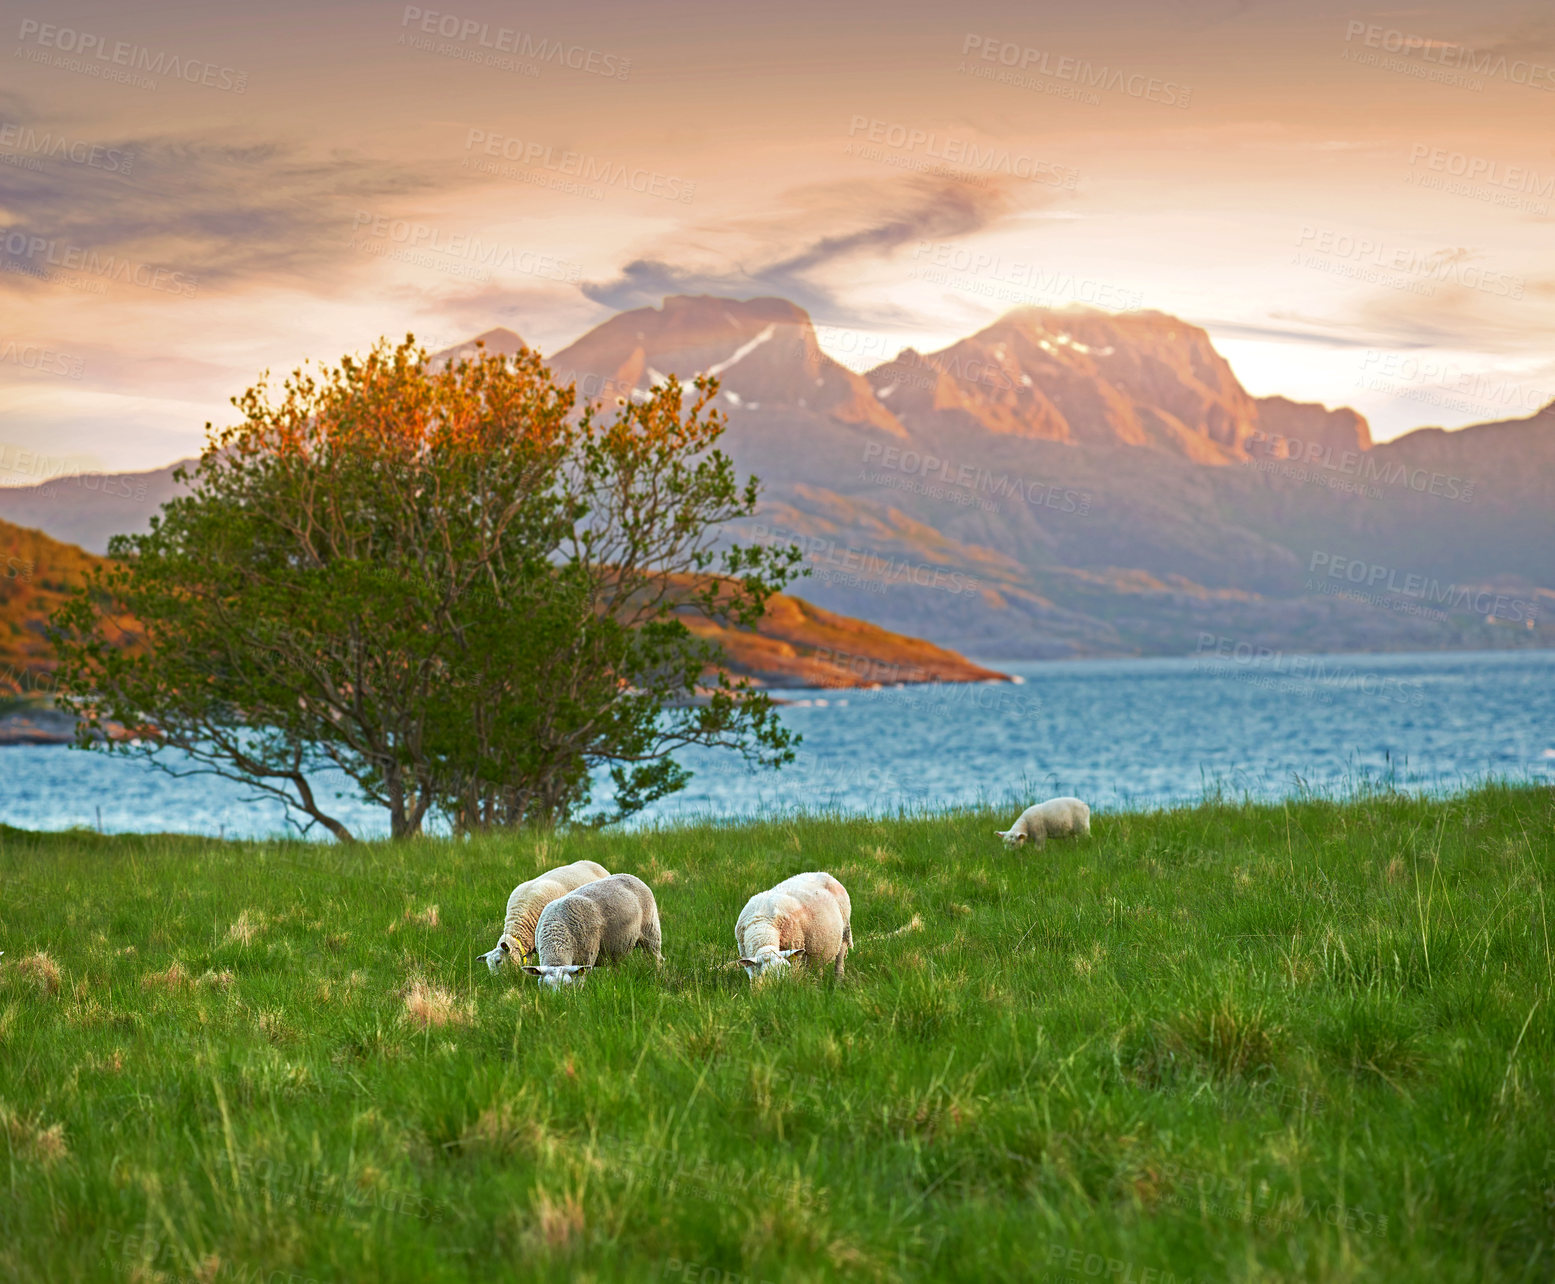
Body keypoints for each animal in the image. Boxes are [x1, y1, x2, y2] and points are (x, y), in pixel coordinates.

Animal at [522, 870, 662, 988]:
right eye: (545, 986)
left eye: (566, 985)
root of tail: (630, 875)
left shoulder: (585, 959)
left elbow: (579, 982)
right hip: (616, 946)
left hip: (651, 930)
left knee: (655, 957)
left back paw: (657, 976)